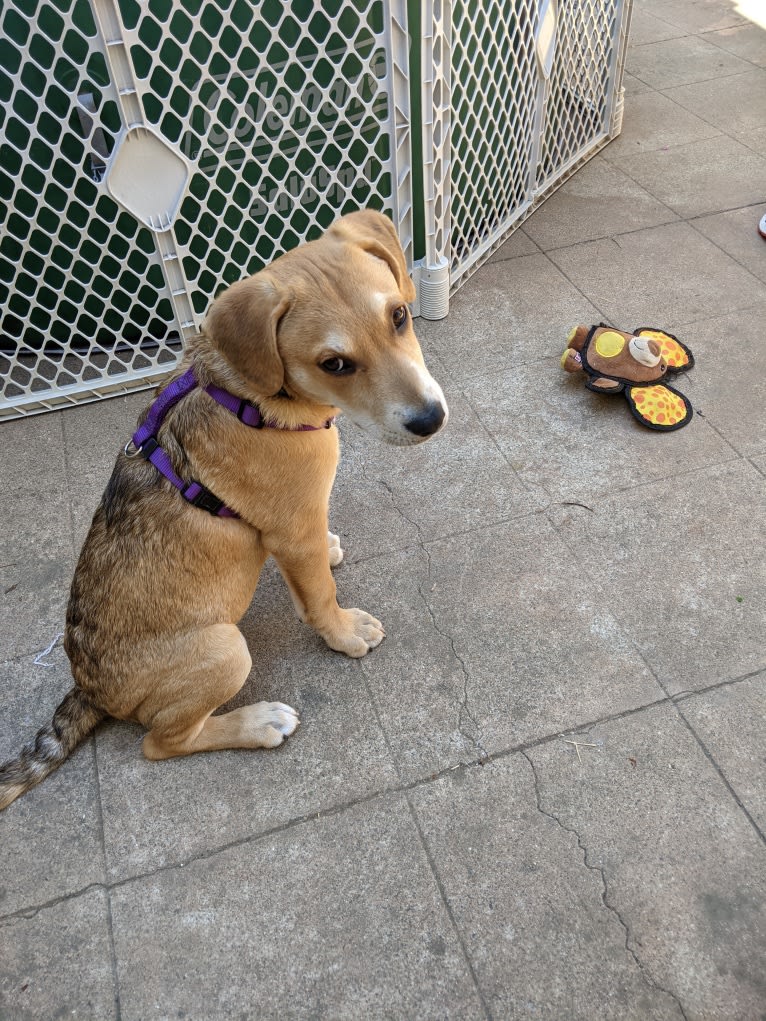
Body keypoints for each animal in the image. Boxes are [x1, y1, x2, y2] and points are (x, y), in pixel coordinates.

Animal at [0, 209, 447, 812]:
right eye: (334, 363)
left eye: (399, 316)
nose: (431, 420)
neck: (255, 399)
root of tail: (87, 687)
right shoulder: (294, 530)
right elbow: (320, 598)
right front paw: (344, 632)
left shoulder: (293, 527)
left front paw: (330, 555)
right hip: (225, 650)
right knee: (160, 743)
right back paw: (258, 723)